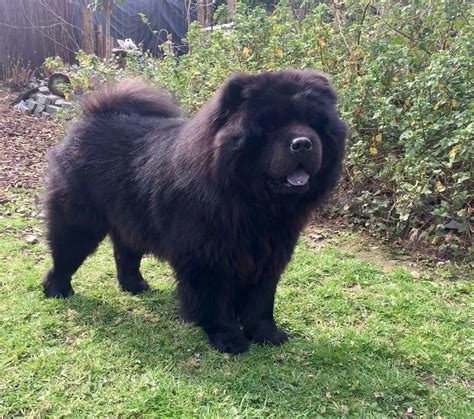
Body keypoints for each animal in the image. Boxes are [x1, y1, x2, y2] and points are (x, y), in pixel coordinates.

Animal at [42, 70, 346, 352]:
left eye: (314, 124)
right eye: (271, 126)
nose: (303, 143)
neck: (254, 205)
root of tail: (91, 119)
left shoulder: (268, 257)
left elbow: (260, 301)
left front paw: (266, 335)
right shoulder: (209, 259)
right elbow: (216, 302)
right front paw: (228, 339)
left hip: (131, 221)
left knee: (125, 254)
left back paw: (135, 285)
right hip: (79, 223)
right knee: (65, 257)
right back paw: (57, 290)